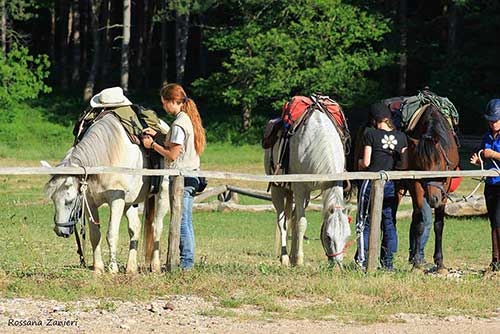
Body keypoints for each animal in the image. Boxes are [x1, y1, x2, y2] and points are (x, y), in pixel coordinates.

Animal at [43, 115, 168, 274]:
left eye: (69, 201)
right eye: (53, 199)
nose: (59, 230)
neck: (108, 154)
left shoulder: (116, 200)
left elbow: (111, 234)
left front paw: (112, 268)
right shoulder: (89, 201)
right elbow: (95, 235)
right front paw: (98, 268)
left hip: (161, 195)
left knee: (157, 227)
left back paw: (155, 265)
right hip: (130, 203)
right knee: (135, 228)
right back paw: (131, 267)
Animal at [264, 109, 350, 266]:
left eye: (347, 236)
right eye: (328, 236)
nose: (337, 265)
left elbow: (297, 222)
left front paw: (296, 257)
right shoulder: (299, 188)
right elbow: (302, 223)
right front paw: (299, 261)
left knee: (292, 218)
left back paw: (292, 255)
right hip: (277, 188)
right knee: (281, 220)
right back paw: (285, 257)